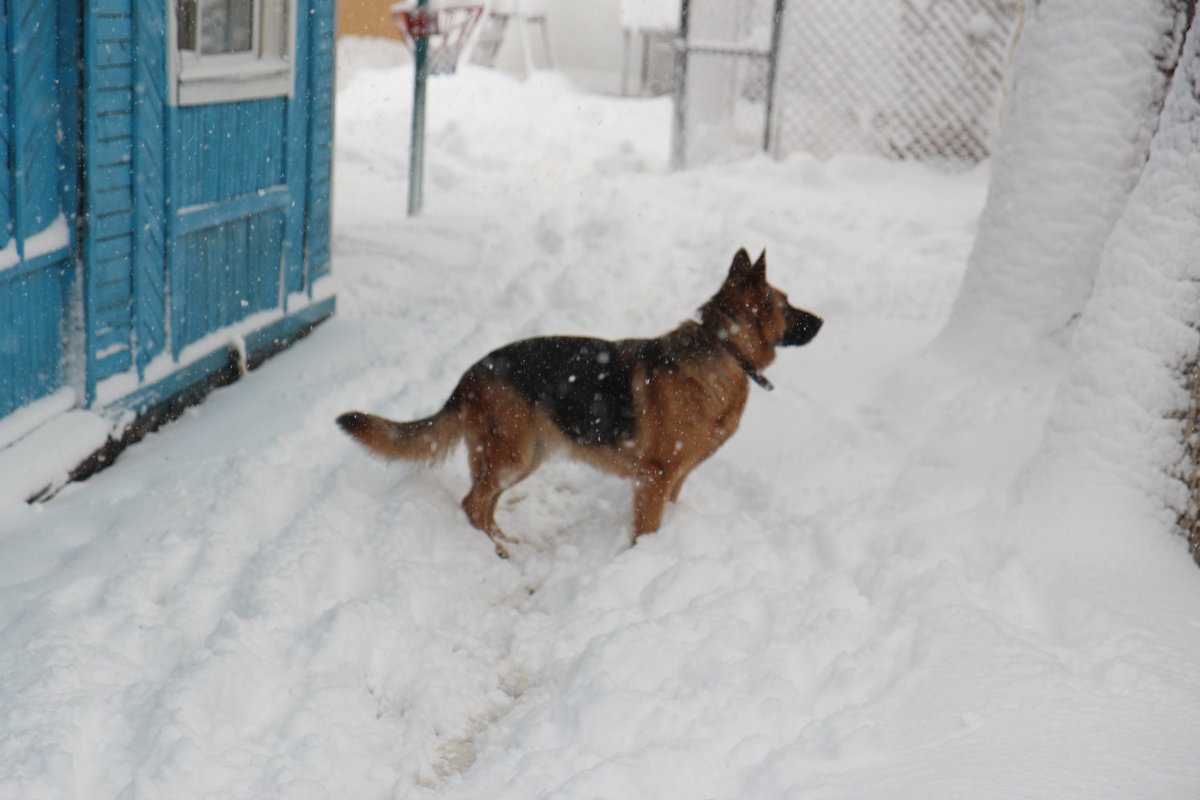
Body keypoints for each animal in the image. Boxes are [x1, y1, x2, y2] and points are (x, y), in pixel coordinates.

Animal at [343, 248, 820, 556]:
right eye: (785, 304)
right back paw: (495, 552)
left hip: (523, 457)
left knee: (484, 504)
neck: (724, 347)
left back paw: (506, 542)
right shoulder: (655, 477)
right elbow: (646, 530)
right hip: (512, 457)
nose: (821, 321)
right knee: (472, 504)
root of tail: (470, 372)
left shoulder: (676, 478)